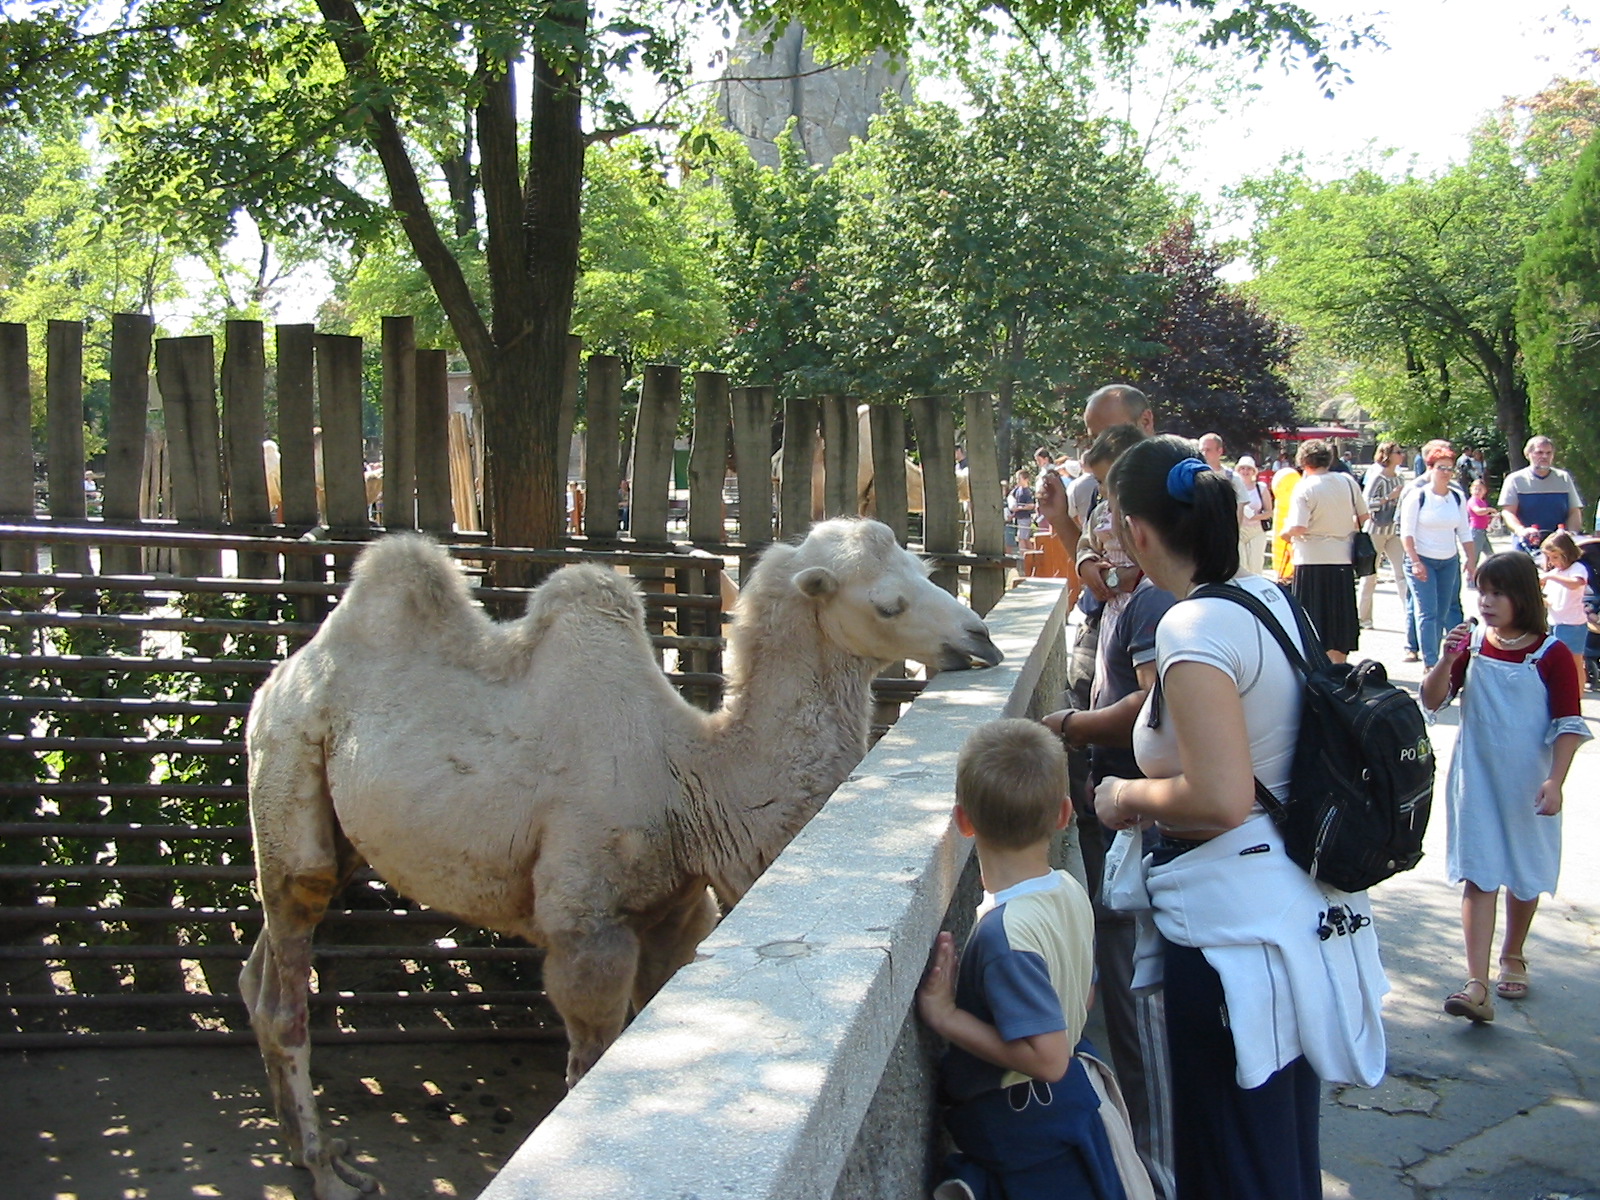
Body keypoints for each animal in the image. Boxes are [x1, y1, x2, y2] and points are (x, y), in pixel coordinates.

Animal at [240, 517, 1001, 1200]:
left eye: (924, 570)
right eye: (888, 603)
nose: (981, 636)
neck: (694, 781)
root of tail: (282, 676)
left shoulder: (675, 913)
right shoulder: (587, 931)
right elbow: (587, 1068)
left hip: (332, 831)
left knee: (259, 975)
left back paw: (301, 1145)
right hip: (288, 778)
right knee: (285, 989)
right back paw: (328, 1172)